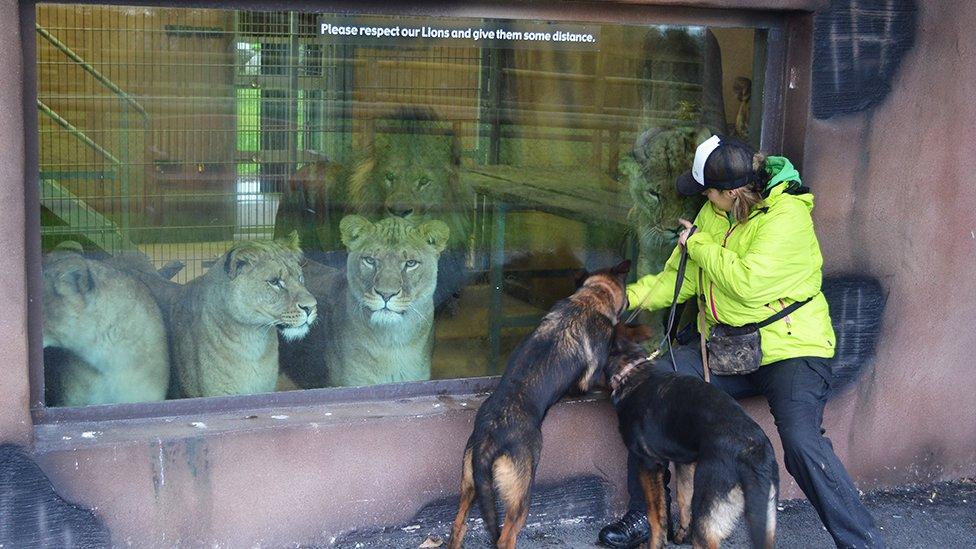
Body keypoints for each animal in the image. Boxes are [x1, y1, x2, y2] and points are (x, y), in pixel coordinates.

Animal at [450, 262, 632, 548]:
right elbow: (599, 379)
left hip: (470, 486)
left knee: (459, 525)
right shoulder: (587, 378)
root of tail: (490, 437)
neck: (590, 298)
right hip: (521, 496)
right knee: (506, 537)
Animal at [608, 324, 776, 544]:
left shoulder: (648, 463)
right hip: (765, 523)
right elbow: (682, 497)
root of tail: (753, 451)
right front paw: (681, 532)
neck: (633, 371)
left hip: (706, 515)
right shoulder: (685, 463)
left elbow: (656, 517)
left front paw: (657, 541)